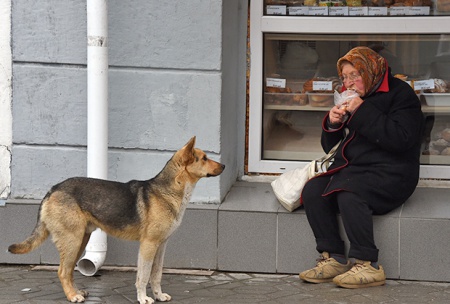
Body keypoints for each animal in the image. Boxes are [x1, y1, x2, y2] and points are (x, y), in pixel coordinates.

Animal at [7, 138, 225, 304]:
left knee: (69, 272)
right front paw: (143, 298)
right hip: (72, 241)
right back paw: (72, 296)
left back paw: (77, 292)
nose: (224, 165)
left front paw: (159, 295)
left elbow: (156, 275)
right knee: (62, 271)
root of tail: (53, 189)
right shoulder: (148, 245)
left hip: (81, 240)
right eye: (204, 158)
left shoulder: (161, 246)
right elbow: (143, 276)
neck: (169, 191)